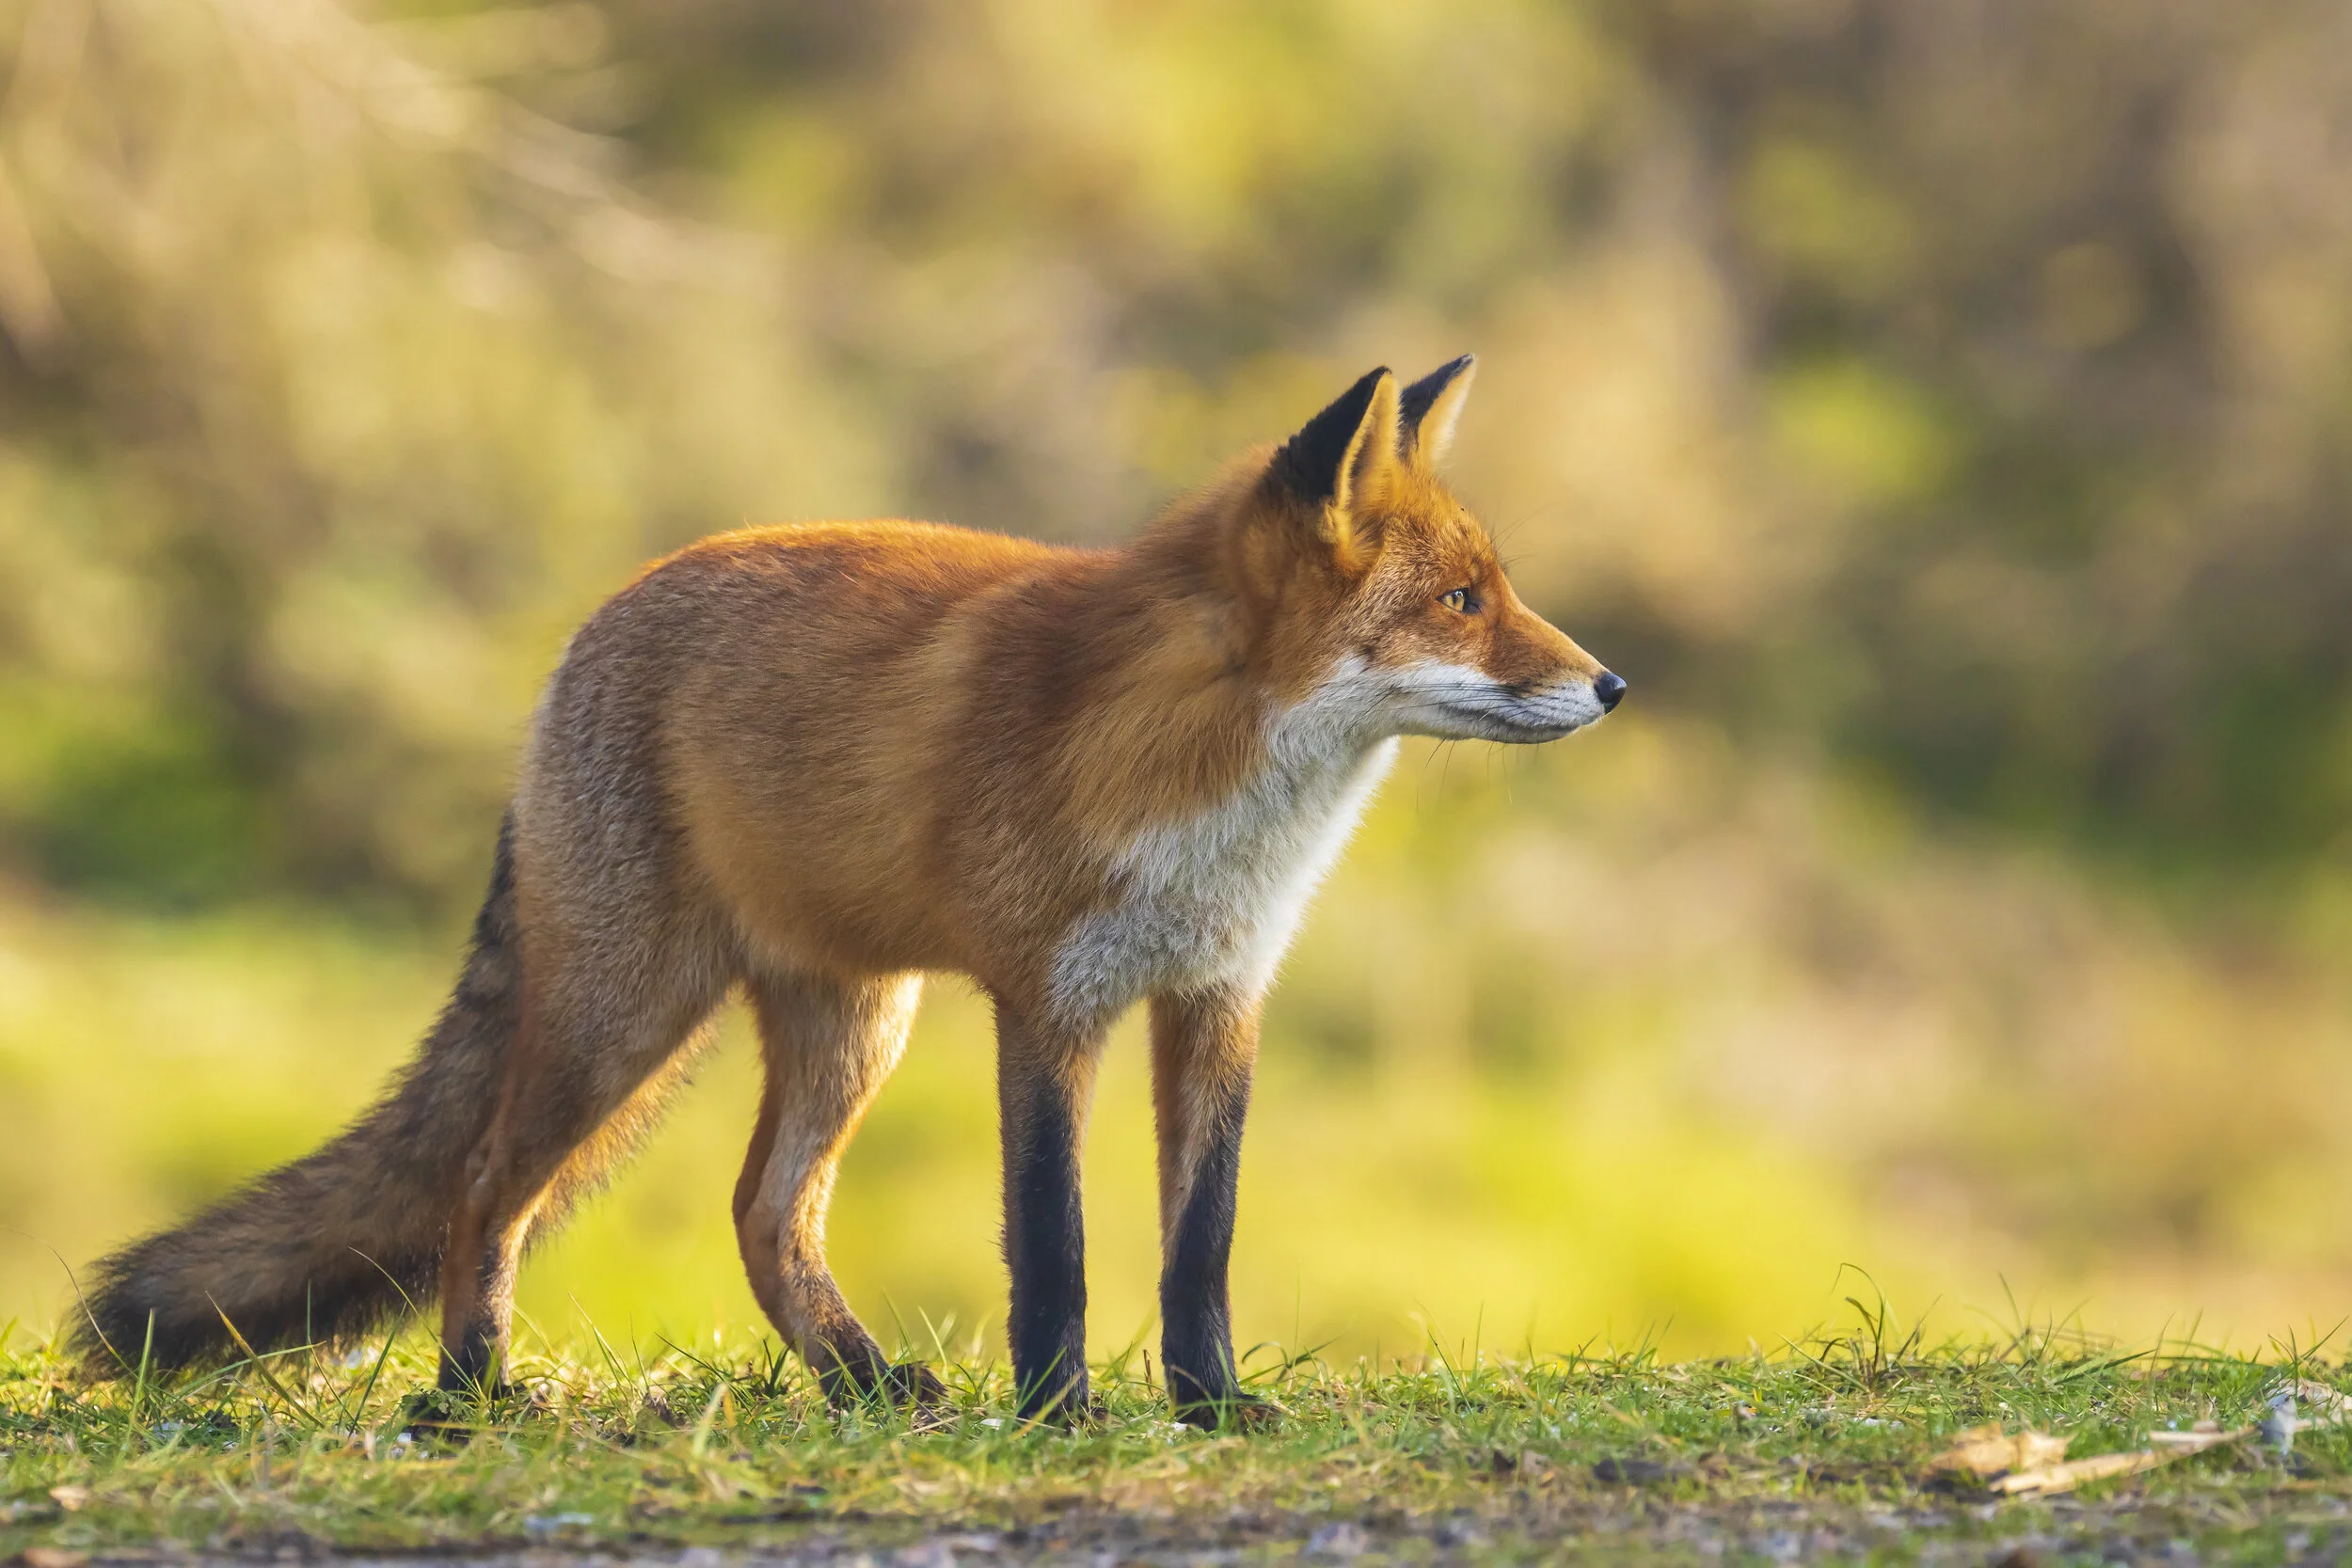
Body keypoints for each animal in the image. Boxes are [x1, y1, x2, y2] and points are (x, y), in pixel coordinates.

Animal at [73, 356, 1622, 1425]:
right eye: (1465, 602)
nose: (1611, 684)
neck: (1216, 788)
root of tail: (592, 627)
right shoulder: (1043, 1002)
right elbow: (1051, 1241)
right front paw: (1059, 1412)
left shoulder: (1216, 997)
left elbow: (1202, 1241)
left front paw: (1211, 1406)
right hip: (623, 1021)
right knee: (480, 1186)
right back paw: (468, 1395)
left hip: (850, 1022)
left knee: (764, 1214)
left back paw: (864, 1382)